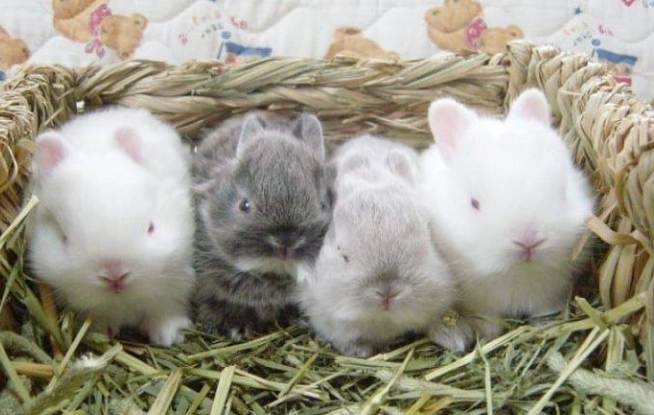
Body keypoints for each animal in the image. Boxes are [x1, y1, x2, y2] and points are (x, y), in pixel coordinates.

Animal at [26, 107, 195, 347]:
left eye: (151, 227)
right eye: (64, 238)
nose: (115, 276)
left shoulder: (177, 277)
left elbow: (166, 306)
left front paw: (167, 336)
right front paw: (102, 333)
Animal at [420, 89, 595, 352]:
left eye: (563, 191)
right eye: (474, 203)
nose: (528, 241)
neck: (517, 273)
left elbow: (544, 310)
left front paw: (544, 326)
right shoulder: (478, 300)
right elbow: (486, 318)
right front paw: (488, 333)